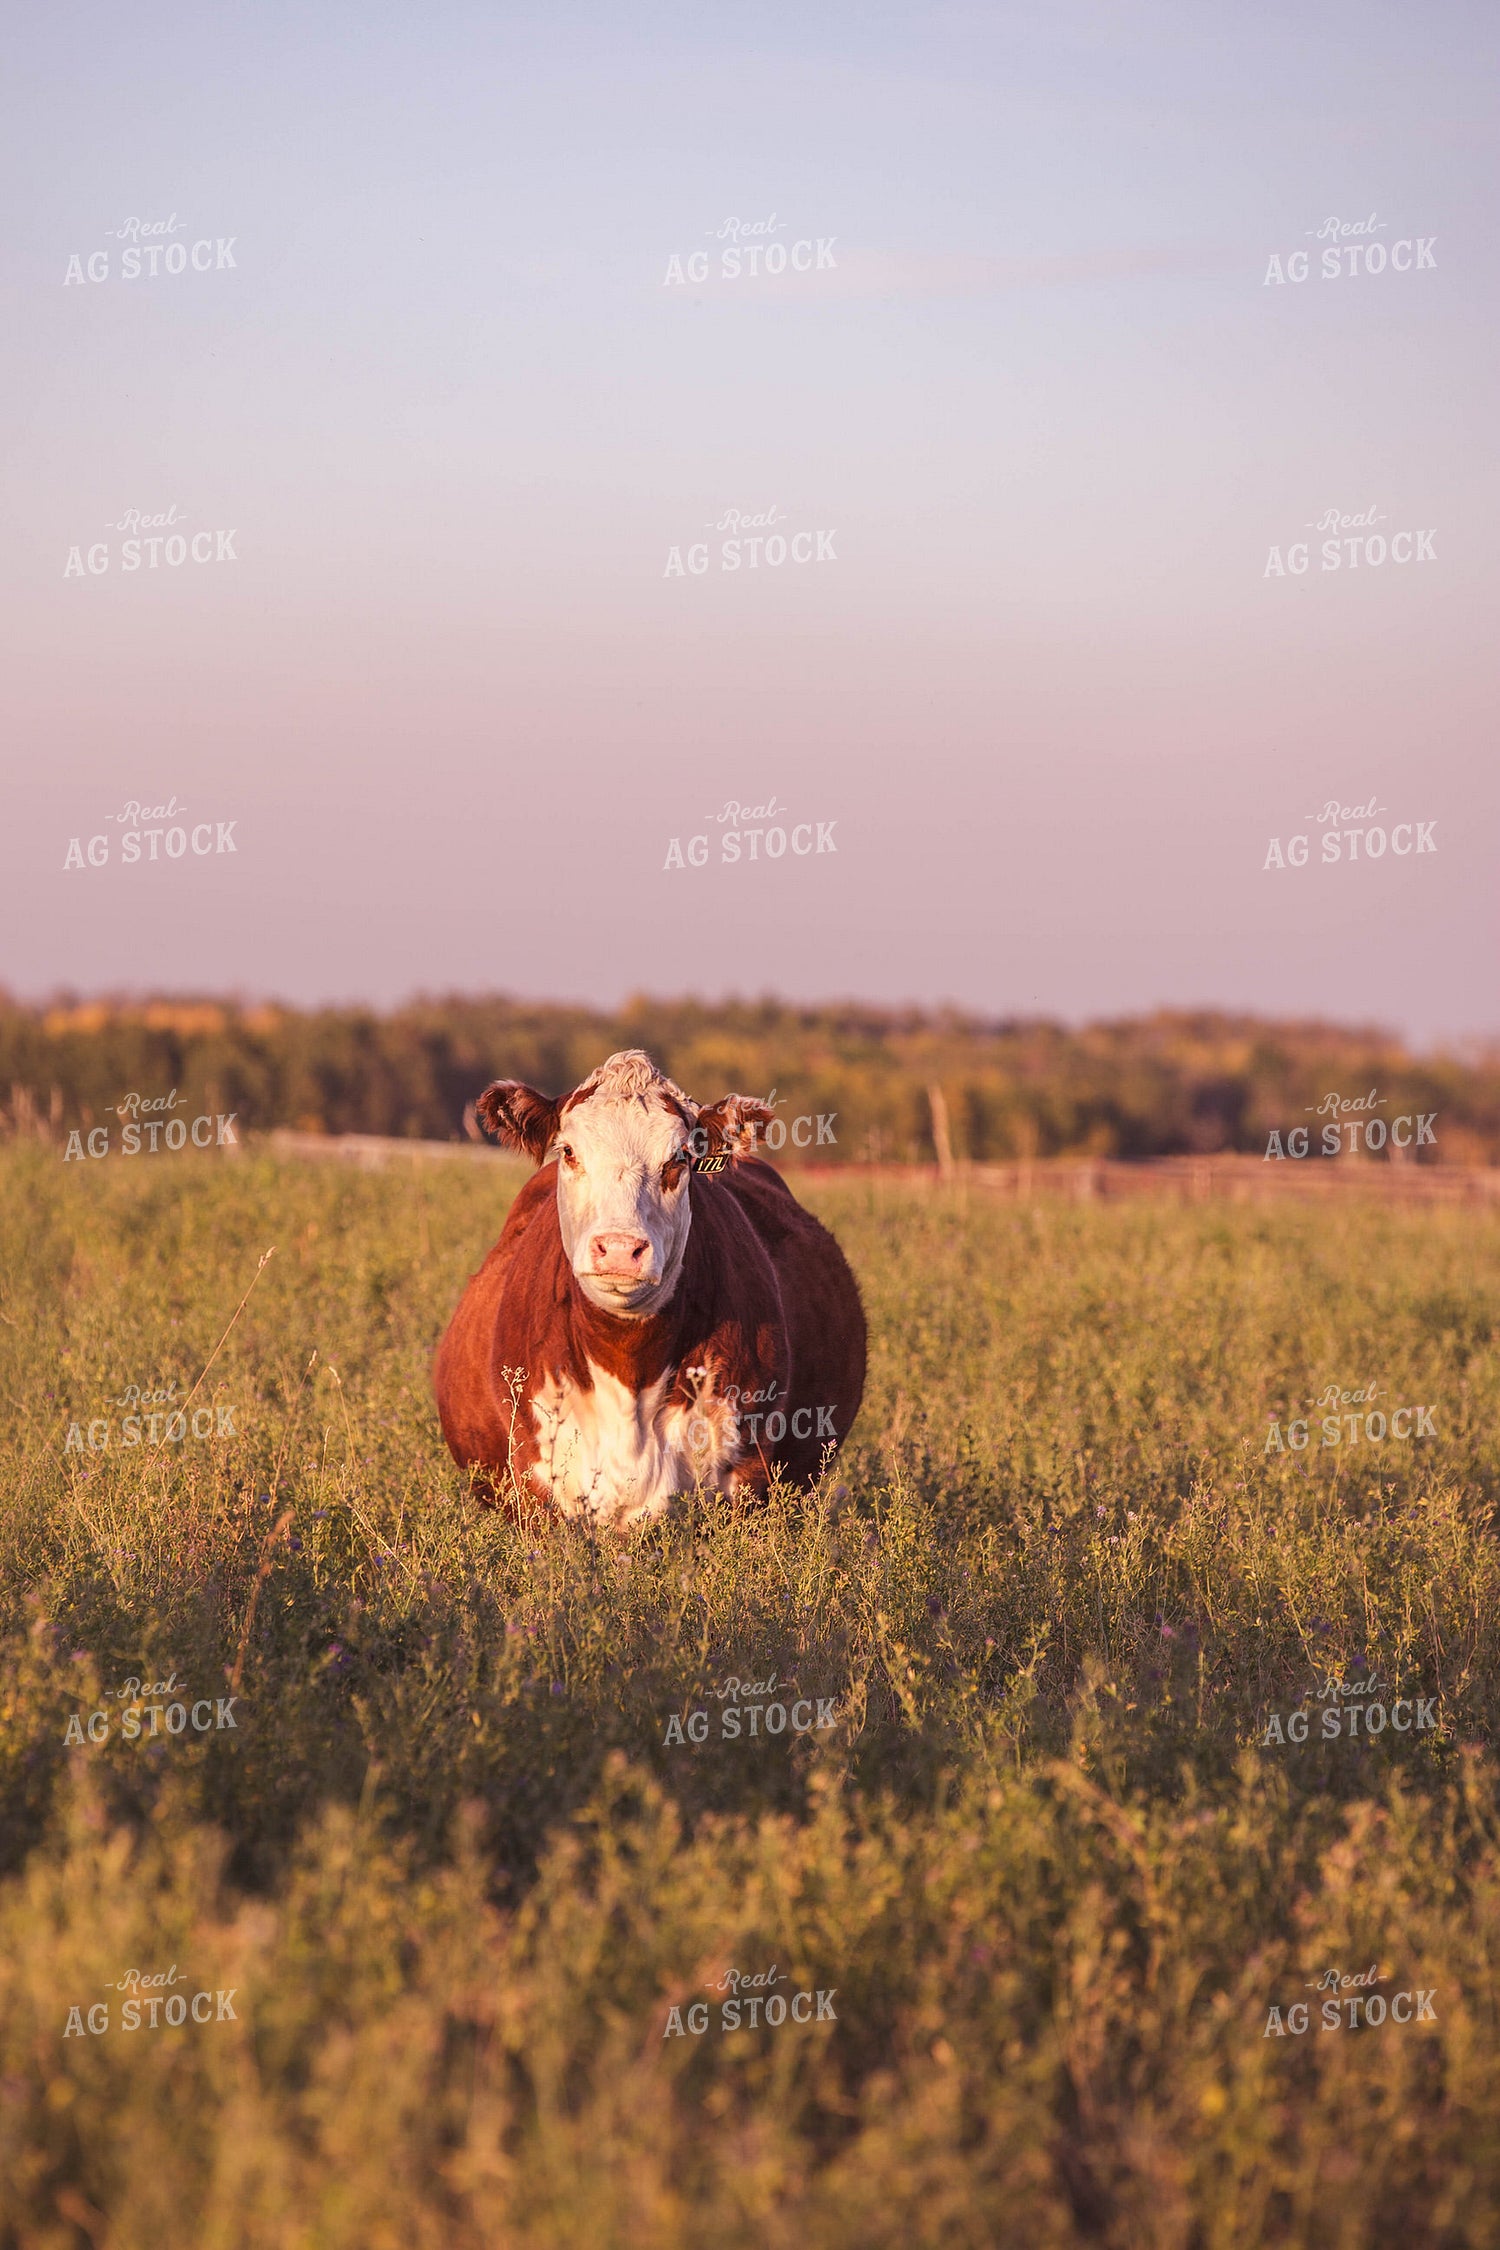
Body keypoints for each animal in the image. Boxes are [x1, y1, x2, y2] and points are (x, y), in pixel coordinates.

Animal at [433, 1049, 865, 1526]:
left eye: (679, 1157)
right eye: (568, 1151)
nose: (621, 1249)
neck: (628, 1367)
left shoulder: (749, 1476)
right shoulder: (533, 1490)